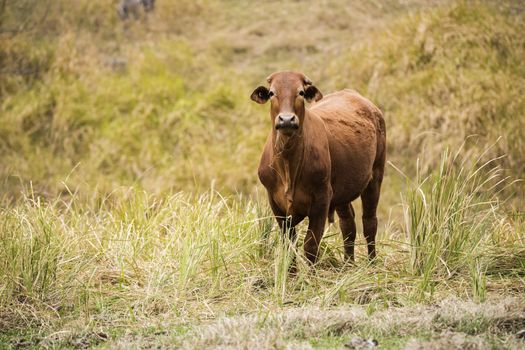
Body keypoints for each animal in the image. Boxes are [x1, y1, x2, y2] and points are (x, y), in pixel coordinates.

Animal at [250, 72, 384, 268]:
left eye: (300, 92)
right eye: (272, 93)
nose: (286, 120)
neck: (289, 165)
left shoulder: (321, 198)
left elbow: (311, 245)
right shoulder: (275, 202)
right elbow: (289, 245)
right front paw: (290, 274)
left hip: (375, 175)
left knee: (369, 222)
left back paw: (372, 264)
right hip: (343, 188)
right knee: (348, 223)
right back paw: (348, 265)